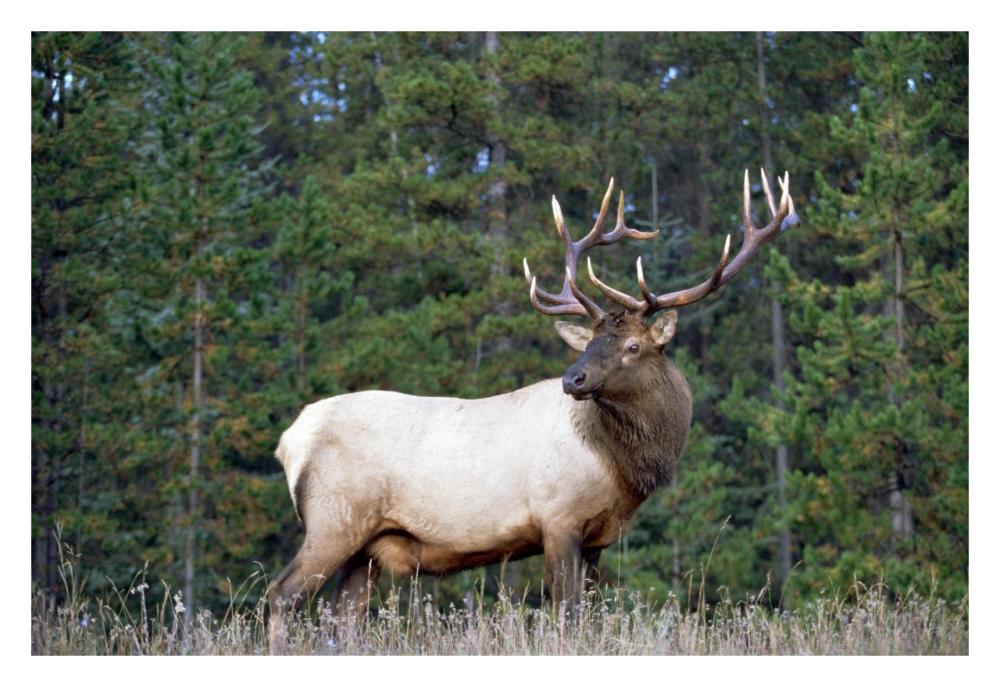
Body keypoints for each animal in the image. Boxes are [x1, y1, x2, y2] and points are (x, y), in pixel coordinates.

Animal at [267, 169, 797, 647]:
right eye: (591, 342)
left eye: (631, 346)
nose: (572, 379)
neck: (619, 467)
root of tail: (290, 441)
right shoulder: (557, 518)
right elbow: (566, 616)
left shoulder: (597, 539)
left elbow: (588, 617)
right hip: (334, 517)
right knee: (281, 595)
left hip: (368, 546)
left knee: (343, 618)